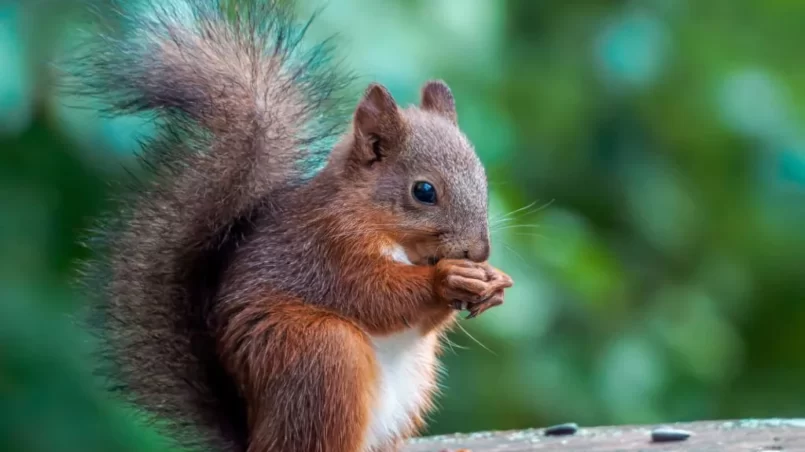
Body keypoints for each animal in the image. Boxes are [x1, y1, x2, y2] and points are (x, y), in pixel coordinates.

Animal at [72, 0, 516, 452]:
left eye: (482, 178)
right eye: (424, 191)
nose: (479, 252)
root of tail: (255, 436)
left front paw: (493, 282)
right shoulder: (328, 247)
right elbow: (377, 294)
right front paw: (447, 279)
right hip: (319, 355)